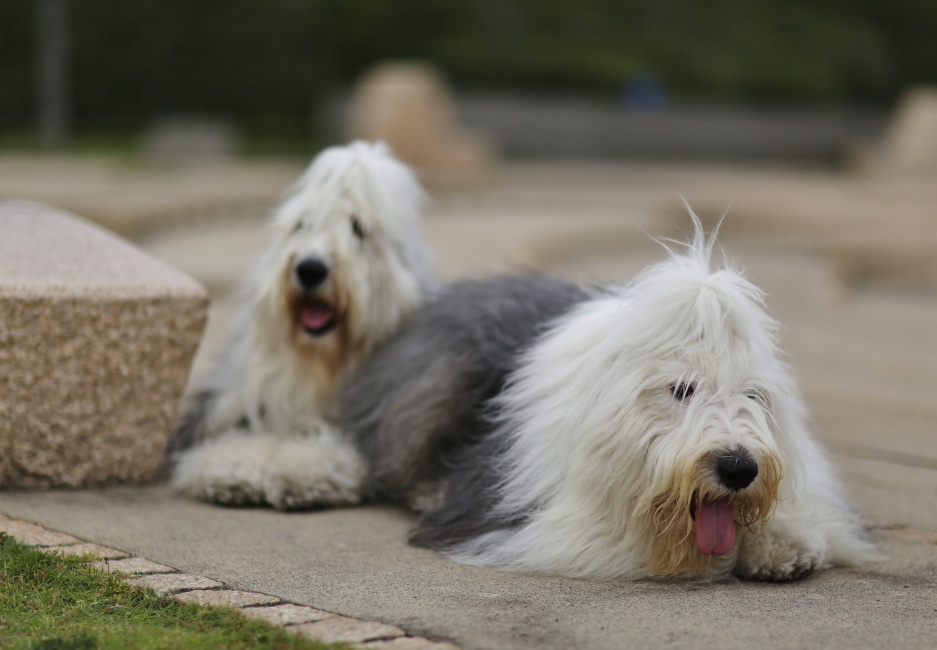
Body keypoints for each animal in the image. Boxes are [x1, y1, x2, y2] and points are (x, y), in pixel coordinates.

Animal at [170, 141, 433, 510]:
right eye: (301, 225)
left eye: (358, 229)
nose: (310, 269)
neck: (322, 365)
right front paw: (236, 468)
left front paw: (290, 468)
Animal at [339, 213, 879, 580]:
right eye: (681, 389)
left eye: (753, 394)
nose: (739, 468)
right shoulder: (556, 525)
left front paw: (784, 546)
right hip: (436, 384)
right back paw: (429, 488)